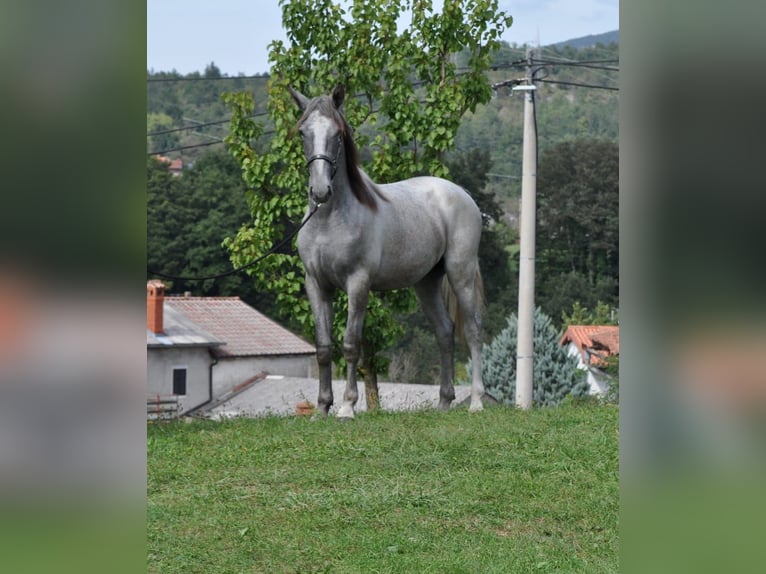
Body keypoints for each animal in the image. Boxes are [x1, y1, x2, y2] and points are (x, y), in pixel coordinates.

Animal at [288, 84, 486, 418]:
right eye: (303, 132)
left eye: (338, 134)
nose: (320, 191)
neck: (330, 219)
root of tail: (461, 193)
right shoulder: (316, 284)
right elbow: (324, 347)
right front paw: (322, 408)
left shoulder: (358, 283)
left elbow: (351, 344)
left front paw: (347, 407)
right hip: (426, 282)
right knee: (445, 332)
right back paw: (444, 403)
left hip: (461, 274)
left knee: (472, 331)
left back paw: (477, 402)